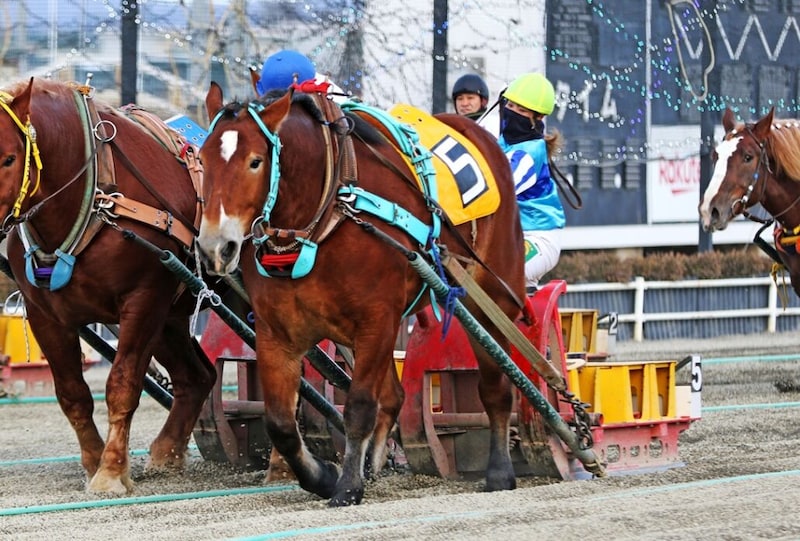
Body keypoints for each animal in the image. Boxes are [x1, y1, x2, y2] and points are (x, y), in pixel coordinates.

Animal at [0, 78, 216, 494]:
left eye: (8, 158)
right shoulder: (45, 314)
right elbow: (72, 394)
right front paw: (93, 461)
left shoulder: (144, 300)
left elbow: (122, 385)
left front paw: (112, 471)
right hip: (171, 318)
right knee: (197, 377)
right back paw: (167, 452)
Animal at [196, 82, 527, 506]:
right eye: (203, 159)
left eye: (255, 162)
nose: (215, 247)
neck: (325, 215)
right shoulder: (276, 331)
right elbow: (281, 423)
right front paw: (323, 475)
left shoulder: (376, 319)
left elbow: (358, 407)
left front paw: (348, 484)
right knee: (394, 396)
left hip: (492, 293)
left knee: (496, 387)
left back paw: (500, 469)